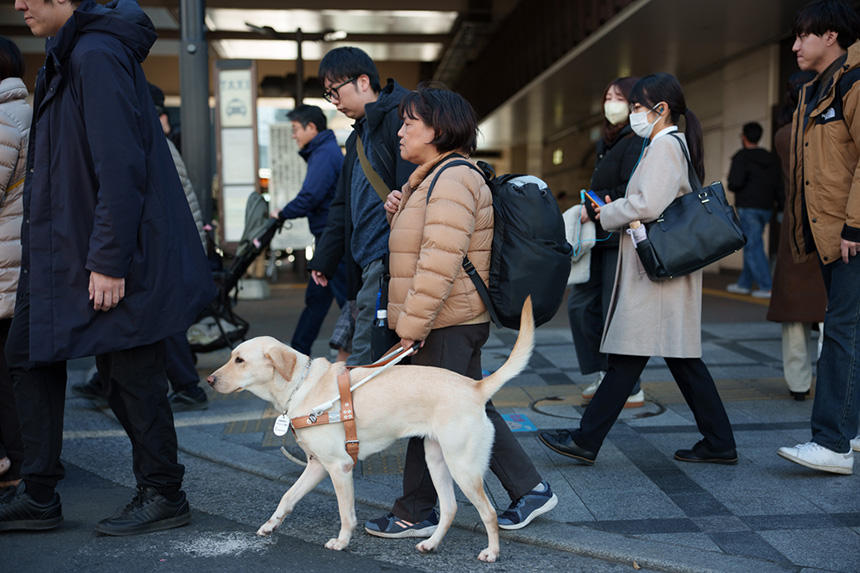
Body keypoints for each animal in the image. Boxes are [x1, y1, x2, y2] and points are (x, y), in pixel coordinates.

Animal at [206, 300, 536, 564]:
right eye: (231, 355)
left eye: (240, 360)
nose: (209, 380)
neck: (302, 386)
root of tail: (475, 386)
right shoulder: (316, 465)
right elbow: (287, 497)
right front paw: (271, 525)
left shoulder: (339, 467)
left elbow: (346, 513)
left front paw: (341, 542)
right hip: (436, 459)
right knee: (450, 507)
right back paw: (430, 544)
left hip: (463, 466)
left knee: (489, 512)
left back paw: (492, 553)